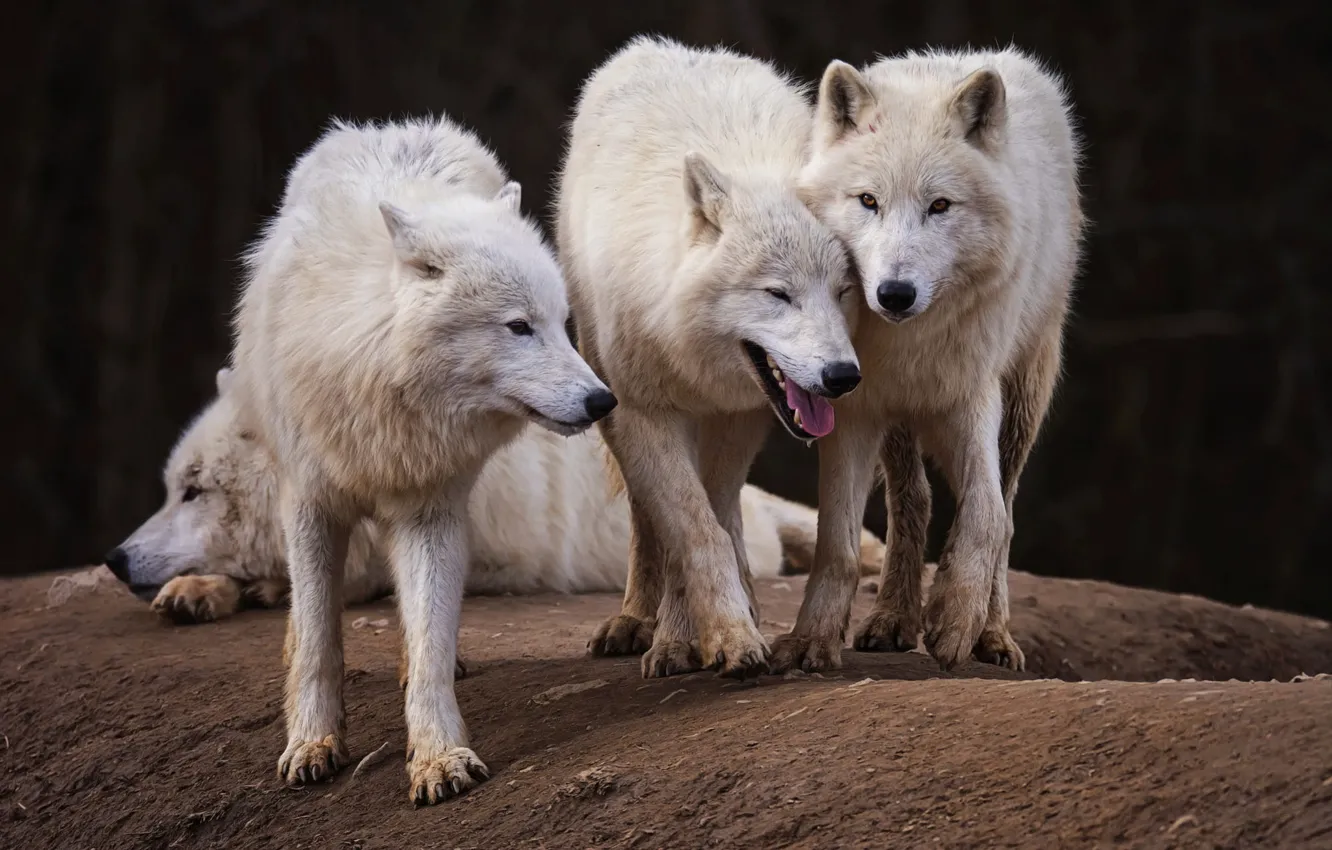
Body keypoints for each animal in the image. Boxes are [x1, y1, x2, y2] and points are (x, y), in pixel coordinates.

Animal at [229, 115, 615, 805]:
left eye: (562, 323)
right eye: (519, 327)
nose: (602, 400)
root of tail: (397, 127)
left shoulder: (429, 507)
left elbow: (432, 638)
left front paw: (438, 755)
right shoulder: (311, 503)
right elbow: (320, 639)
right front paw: (312, 742)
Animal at [557, 36, 863, 680]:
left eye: (843, 290)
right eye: (778, 294)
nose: (842, 377)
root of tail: (672, 46)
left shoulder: (739, 415)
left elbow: (714, 520)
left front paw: (710, 632)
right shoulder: (642, 412)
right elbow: (691, 531)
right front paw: (704, 637)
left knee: (727, 514)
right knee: (649, 519)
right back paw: (635, 620)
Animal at [771, 47, 1085, 674]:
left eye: (939, 206)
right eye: (868, 200)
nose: (894, 293)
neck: (908, 340)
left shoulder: (972, 394)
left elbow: (987, 516)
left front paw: (956, 619)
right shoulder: (857, 407)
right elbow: (836, 542)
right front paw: (813, 639)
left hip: (1024, 395)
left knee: (1005, 507)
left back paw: (993, 633)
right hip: (899, 417)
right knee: (912, 498)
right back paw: (892, 618)